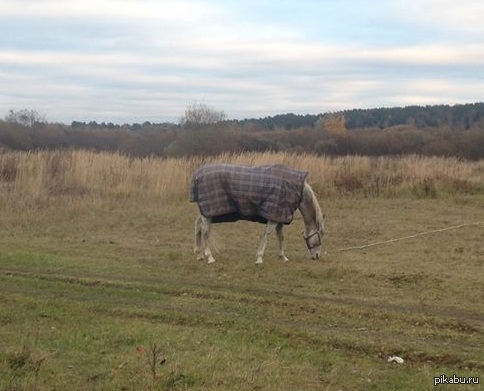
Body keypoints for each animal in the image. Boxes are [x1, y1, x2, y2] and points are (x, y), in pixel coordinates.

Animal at [190, 164, 326, 264]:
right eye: (321, 234)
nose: (317, 256)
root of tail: (197, 174)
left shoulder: (280, 217)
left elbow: (280, 236)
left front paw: (283, 257)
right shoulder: (273, 217)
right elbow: (267, 234)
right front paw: (259, 258)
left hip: (206, 212)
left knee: (197, 227)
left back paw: (199, 255)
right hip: (208, 213)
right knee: (205, 231)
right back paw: (209, 257)